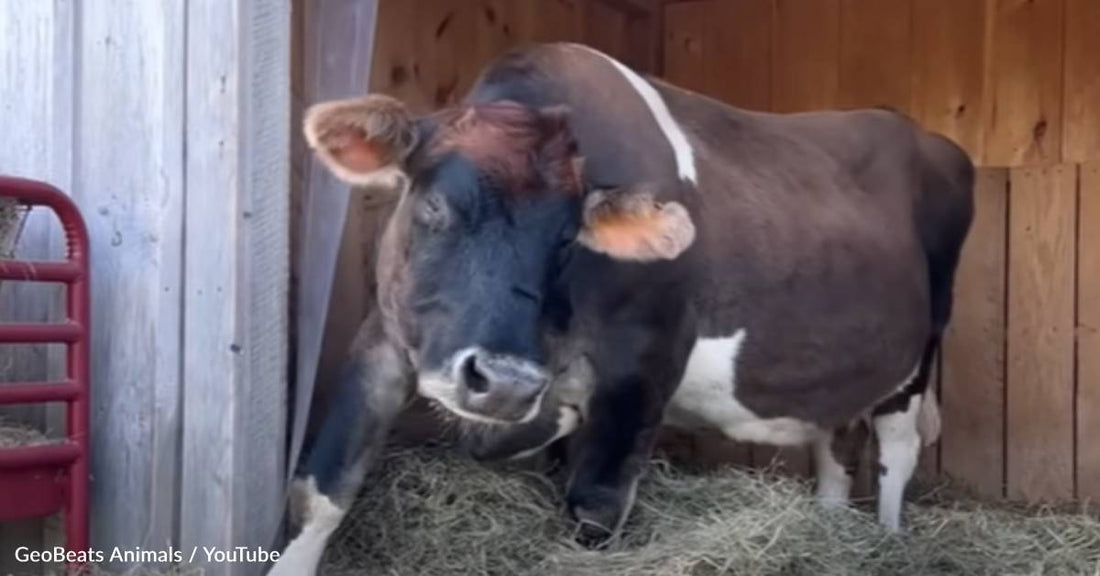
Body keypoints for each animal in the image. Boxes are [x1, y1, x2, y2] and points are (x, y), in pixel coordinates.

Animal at [269, 42, 973, 575]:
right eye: (434, 204)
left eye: (566, 239)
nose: (505, 382)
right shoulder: (385, 336)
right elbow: (320, 487)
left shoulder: (644, 362)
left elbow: (595, 505)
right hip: (834, 371)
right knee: (834, 448)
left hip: (917, 358)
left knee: (896, 451)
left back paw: (888, 541)